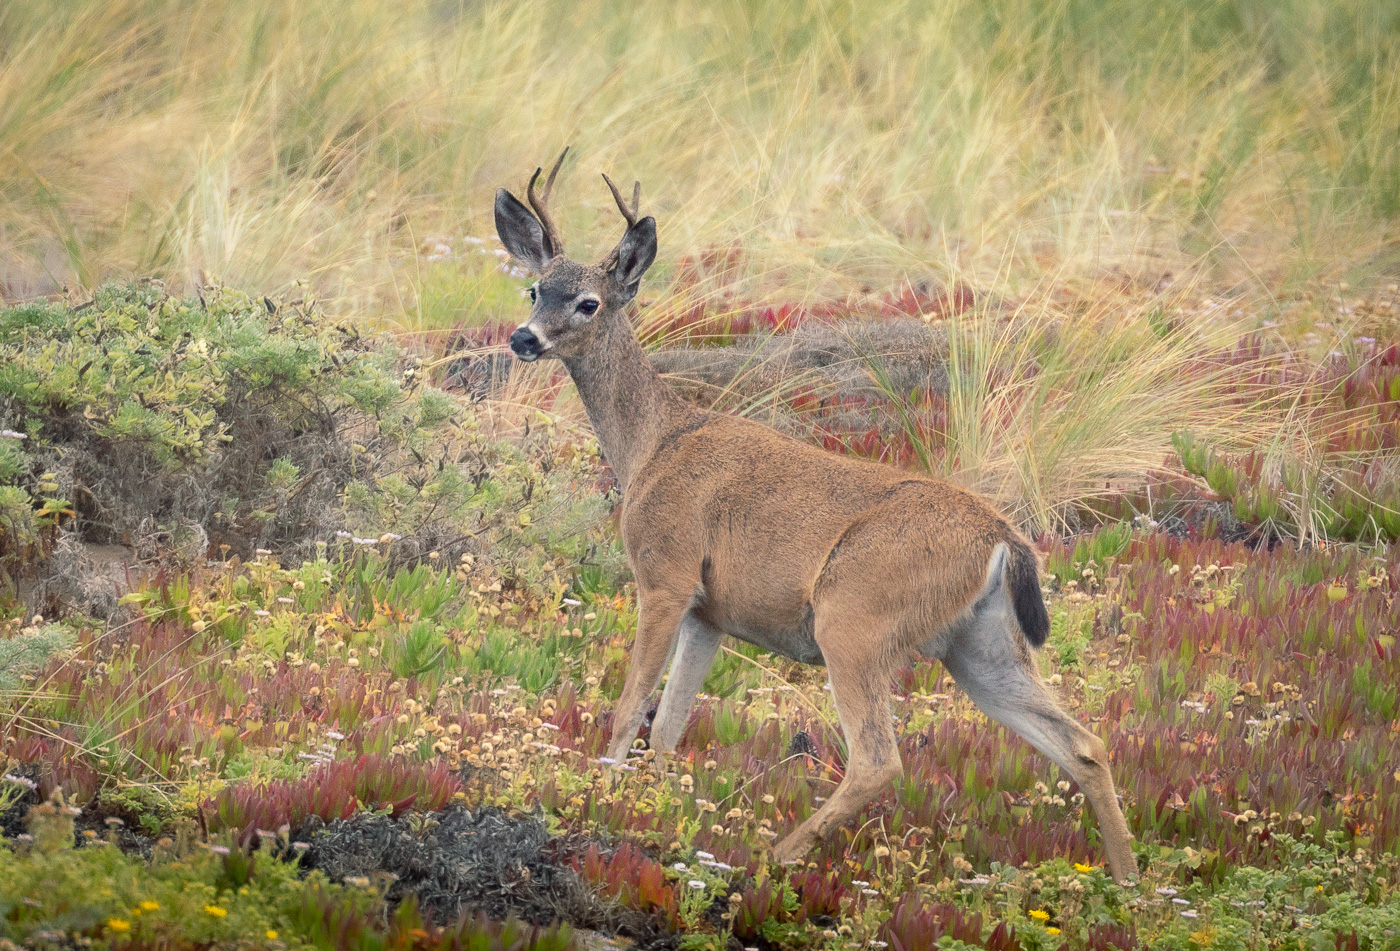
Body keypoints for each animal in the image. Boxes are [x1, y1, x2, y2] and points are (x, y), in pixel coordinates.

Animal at [492, 150, 1139, 883]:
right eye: (534, 289)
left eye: (588, 302)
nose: (522, 338)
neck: (654, 443)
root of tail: (1002, 537)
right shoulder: (709, 612)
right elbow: (669, 727)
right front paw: (649, 811)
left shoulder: (666, 573)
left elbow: (630, 708)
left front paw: (599, 801)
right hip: (981, 645)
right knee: (1083, 743)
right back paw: (1129, 882)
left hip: (855, 618)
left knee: (879, 759)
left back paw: (771, 857)